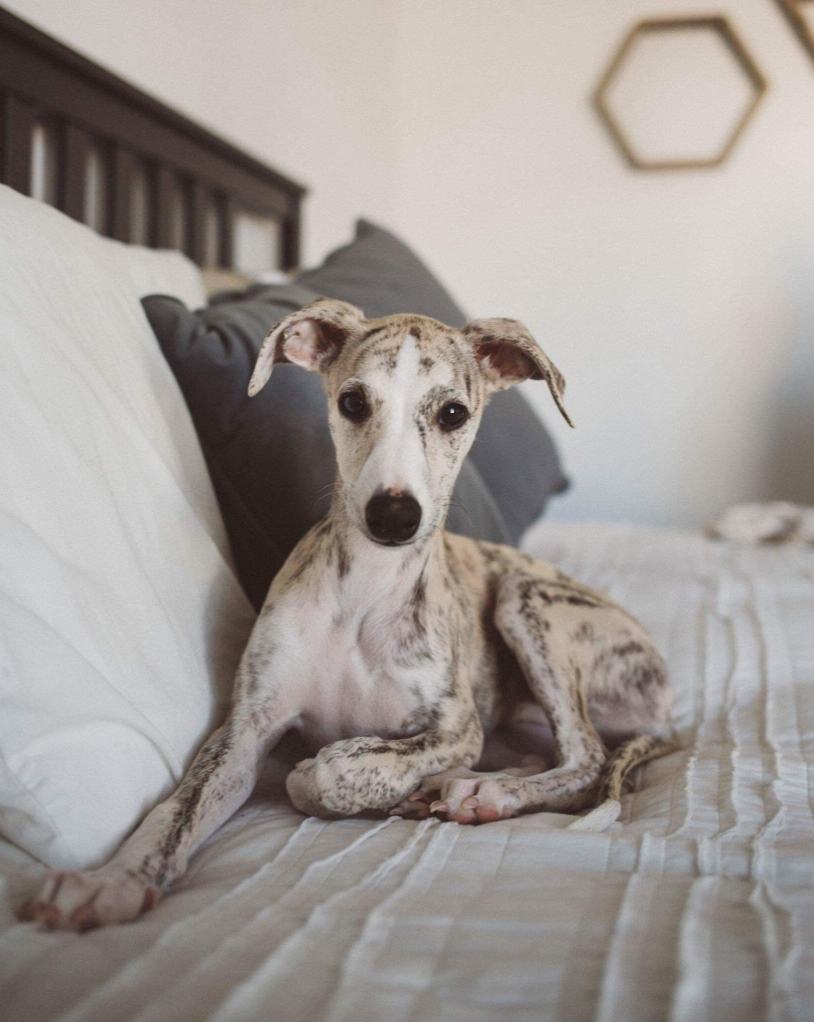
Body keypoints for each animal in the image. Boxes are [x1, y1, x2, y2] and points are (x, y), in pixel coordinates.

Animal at [17, 298, 674, 932]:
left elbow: (331, 770)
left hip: (525, 601)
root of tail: (670, 710)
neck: (364, 597)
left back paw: (483, 792)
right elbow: (175, 810)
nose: (394, 517)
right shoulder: (246, 728)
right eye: (353, 401)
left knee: (586, 758)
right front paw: (111, 881)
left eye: (453, 413)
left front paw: (334, 777)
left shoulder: (457, 729)